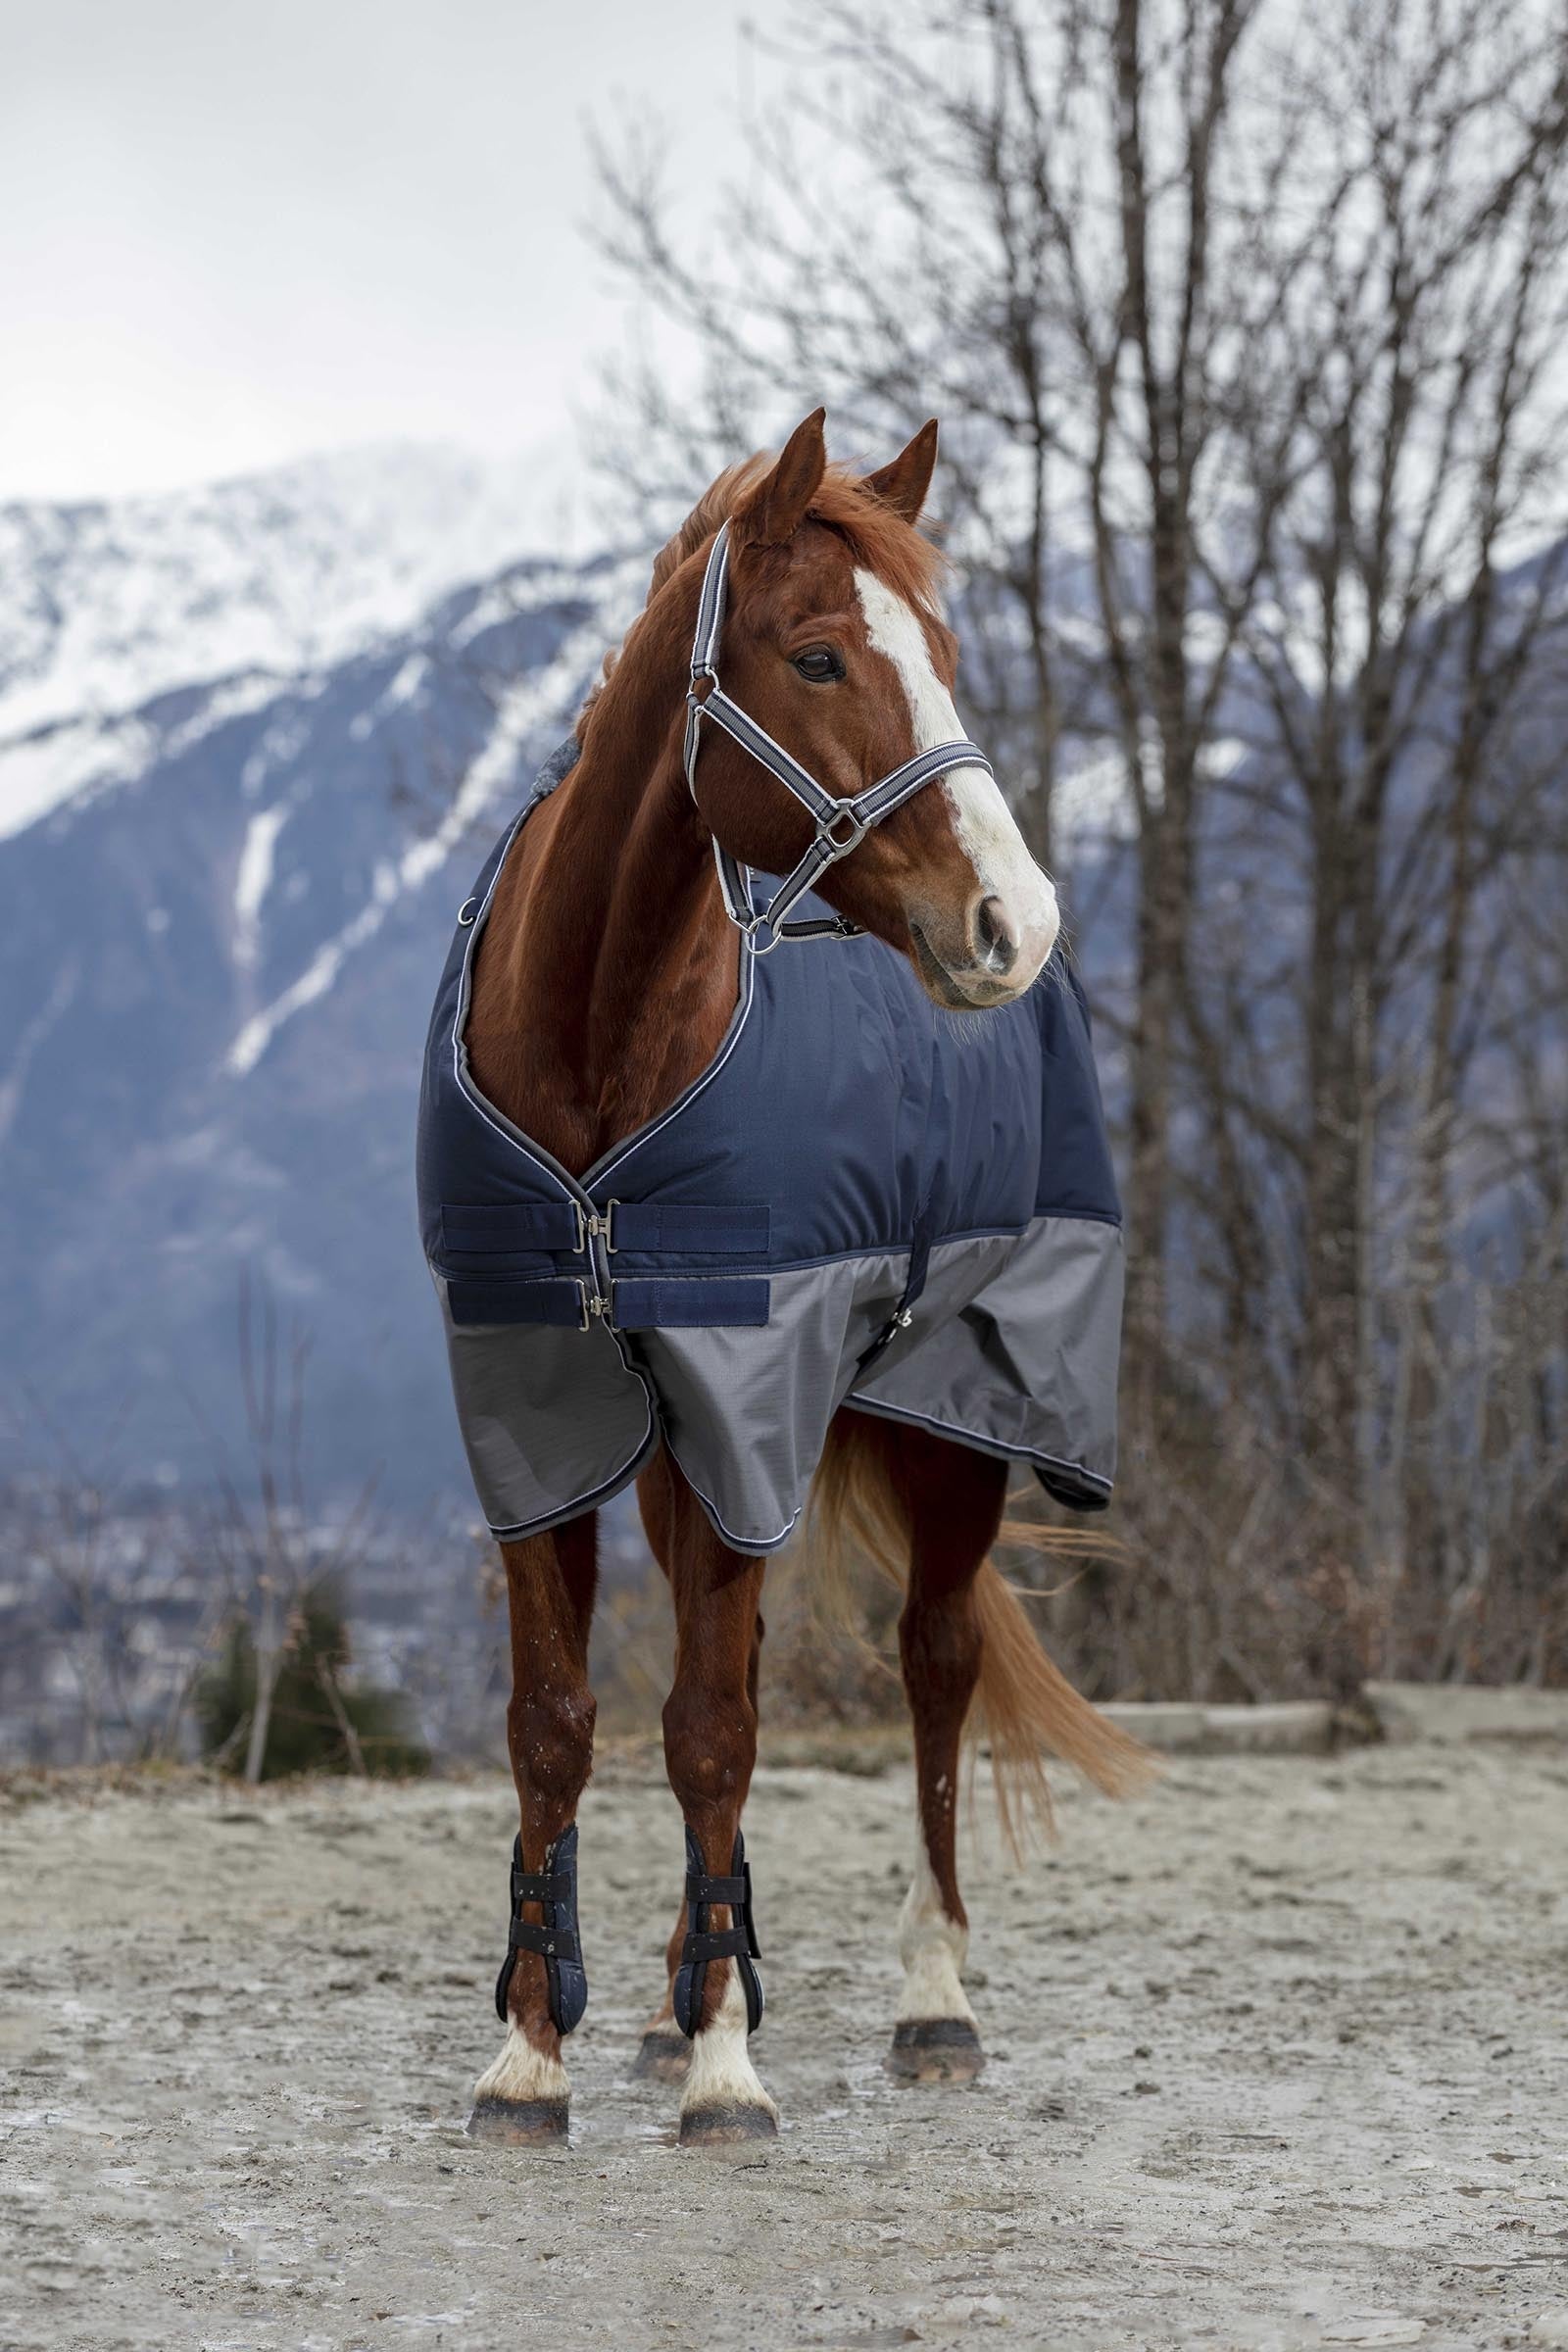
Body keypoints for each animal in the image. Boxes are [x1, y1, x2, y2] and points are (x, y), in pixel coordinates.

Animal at [423, 409, 1148, 2147]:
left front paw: (728, 2070)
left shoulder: (749, 1400)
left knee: (937, 1667)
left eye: (940, 653)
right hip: (685, 1456)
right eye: (818, 655)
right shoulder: (533, 1410)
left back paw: (933, 1999)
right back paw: (674, 1992)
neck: (596, 1067)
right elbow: (562, 1728)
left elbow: (712, 1731)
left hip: (961, 1417)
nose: (1012, 919)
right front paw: (537, 2051)